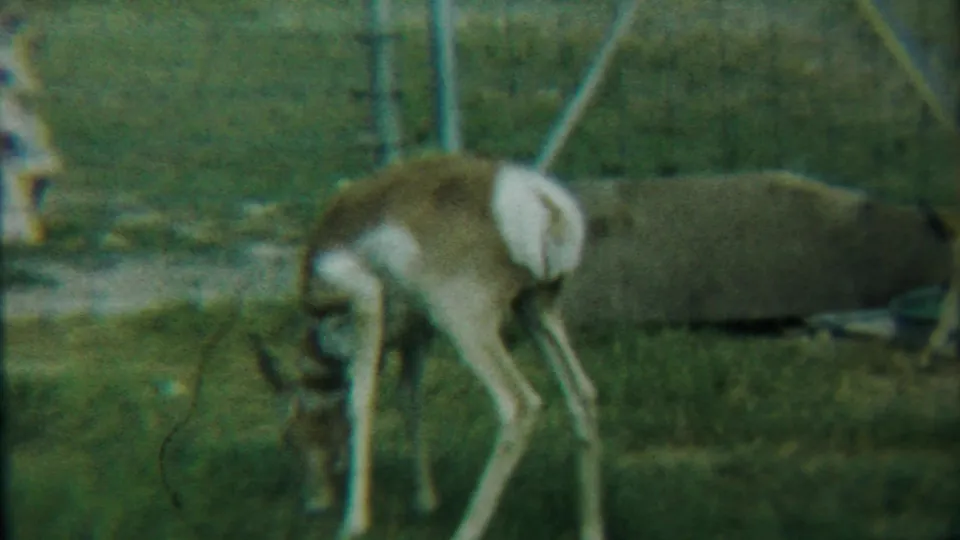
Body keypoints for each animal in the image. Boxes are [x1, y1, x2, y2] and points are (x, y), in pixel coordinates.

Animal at [252, 153, 604, 540]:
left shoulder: (367, 300)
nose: (313, 505)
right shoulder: (416, 332)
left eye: (288, 437)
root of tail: (540, 198)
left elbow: (362, 400)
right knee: (582, 394)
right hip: (537, 311)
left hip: (467, 325)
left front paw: (354, 523)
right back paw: (591, 528)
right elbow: (411, 398)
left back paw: (466, 529)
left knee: (518, 405)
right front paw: (425, 501)